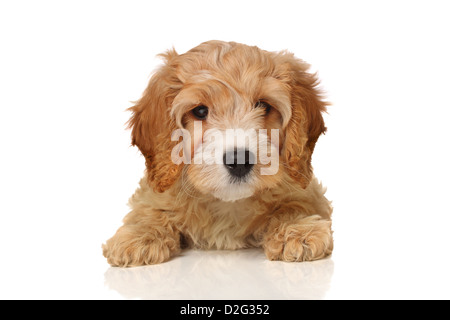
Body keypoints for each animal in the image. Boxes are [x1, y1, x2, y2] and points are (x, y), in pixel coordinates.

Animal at [103, 40, 334, 266]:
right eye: (200, 111)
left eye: (263, 106)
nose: (239, 161)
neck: (227, 204)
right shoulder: (153, 193)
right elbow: (149, 209)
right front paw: (139, 235)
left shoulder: (309, 191)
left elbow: (295, 203)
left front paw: (298, 229)